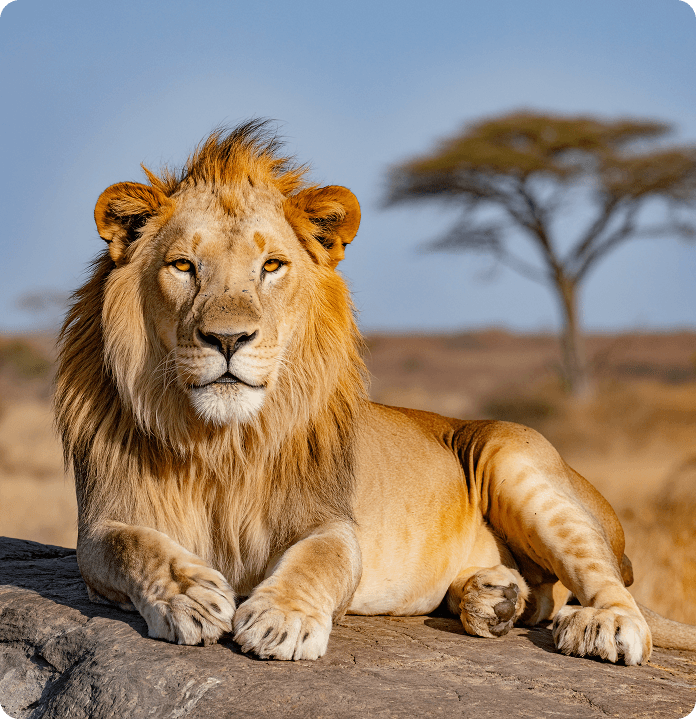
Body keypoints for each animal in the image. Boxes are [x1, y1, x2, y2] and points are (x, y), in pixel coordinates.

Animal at [55, 120, 696, 665]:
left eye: (272, 265)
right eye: (184, 266)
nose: (228, 338)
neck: (225, 441)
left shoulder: (331, 521)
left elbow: (319, 559)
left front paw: (282, 620)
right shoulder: (103, 522)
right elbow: (134, 547)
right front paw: (189, 595)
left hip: (508, 452)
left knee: (606, 585)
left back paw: (601, 623)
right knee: (538, 596)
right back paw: (493, 599)